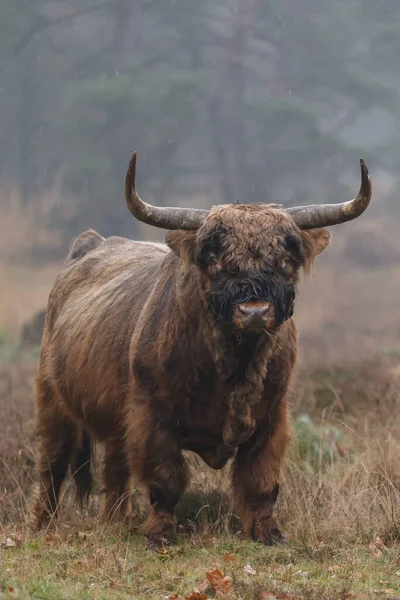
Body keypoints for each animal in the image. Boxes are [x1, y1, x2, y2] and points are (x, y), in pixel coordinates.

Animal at [31, 152, 372, 548]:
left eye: (286, 260)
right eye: (214, 260)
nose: (254, 311)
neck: (234, 368)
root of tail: (90, 244)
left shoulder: (273, 417)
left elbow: (261, 480)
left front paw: (269, 533)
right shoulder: (152, 415)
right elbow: (166, 478)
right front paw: (160, 534)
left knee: (115, 468)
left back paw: (117, 521)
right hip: (52, 401)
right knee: (52, 465)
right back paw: (42, 526)